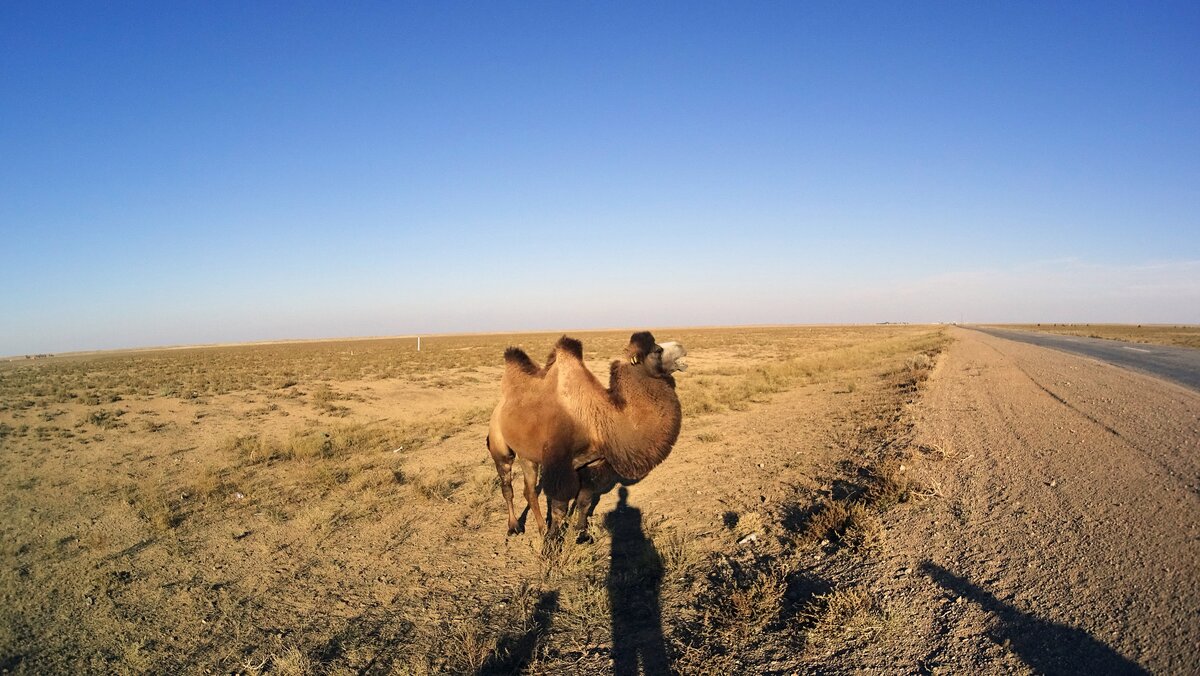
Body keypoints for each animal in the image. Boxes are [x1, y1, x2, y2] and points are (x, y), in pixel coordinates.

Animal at [480, 331, 686, 542]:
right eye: (657, 350)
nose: (681, 346)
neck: (598, 419)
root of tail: (500, 406)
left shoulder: (592, 463)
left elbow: (584, 500)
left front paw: (581, 533)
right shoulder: (560, 464)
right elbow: (559, 508)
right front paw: (552, 541)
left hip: (527, 454)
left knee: (529, 490)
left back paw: (540, 527)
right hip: (500, 445)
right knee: (507, 486)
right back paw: (516, 527)